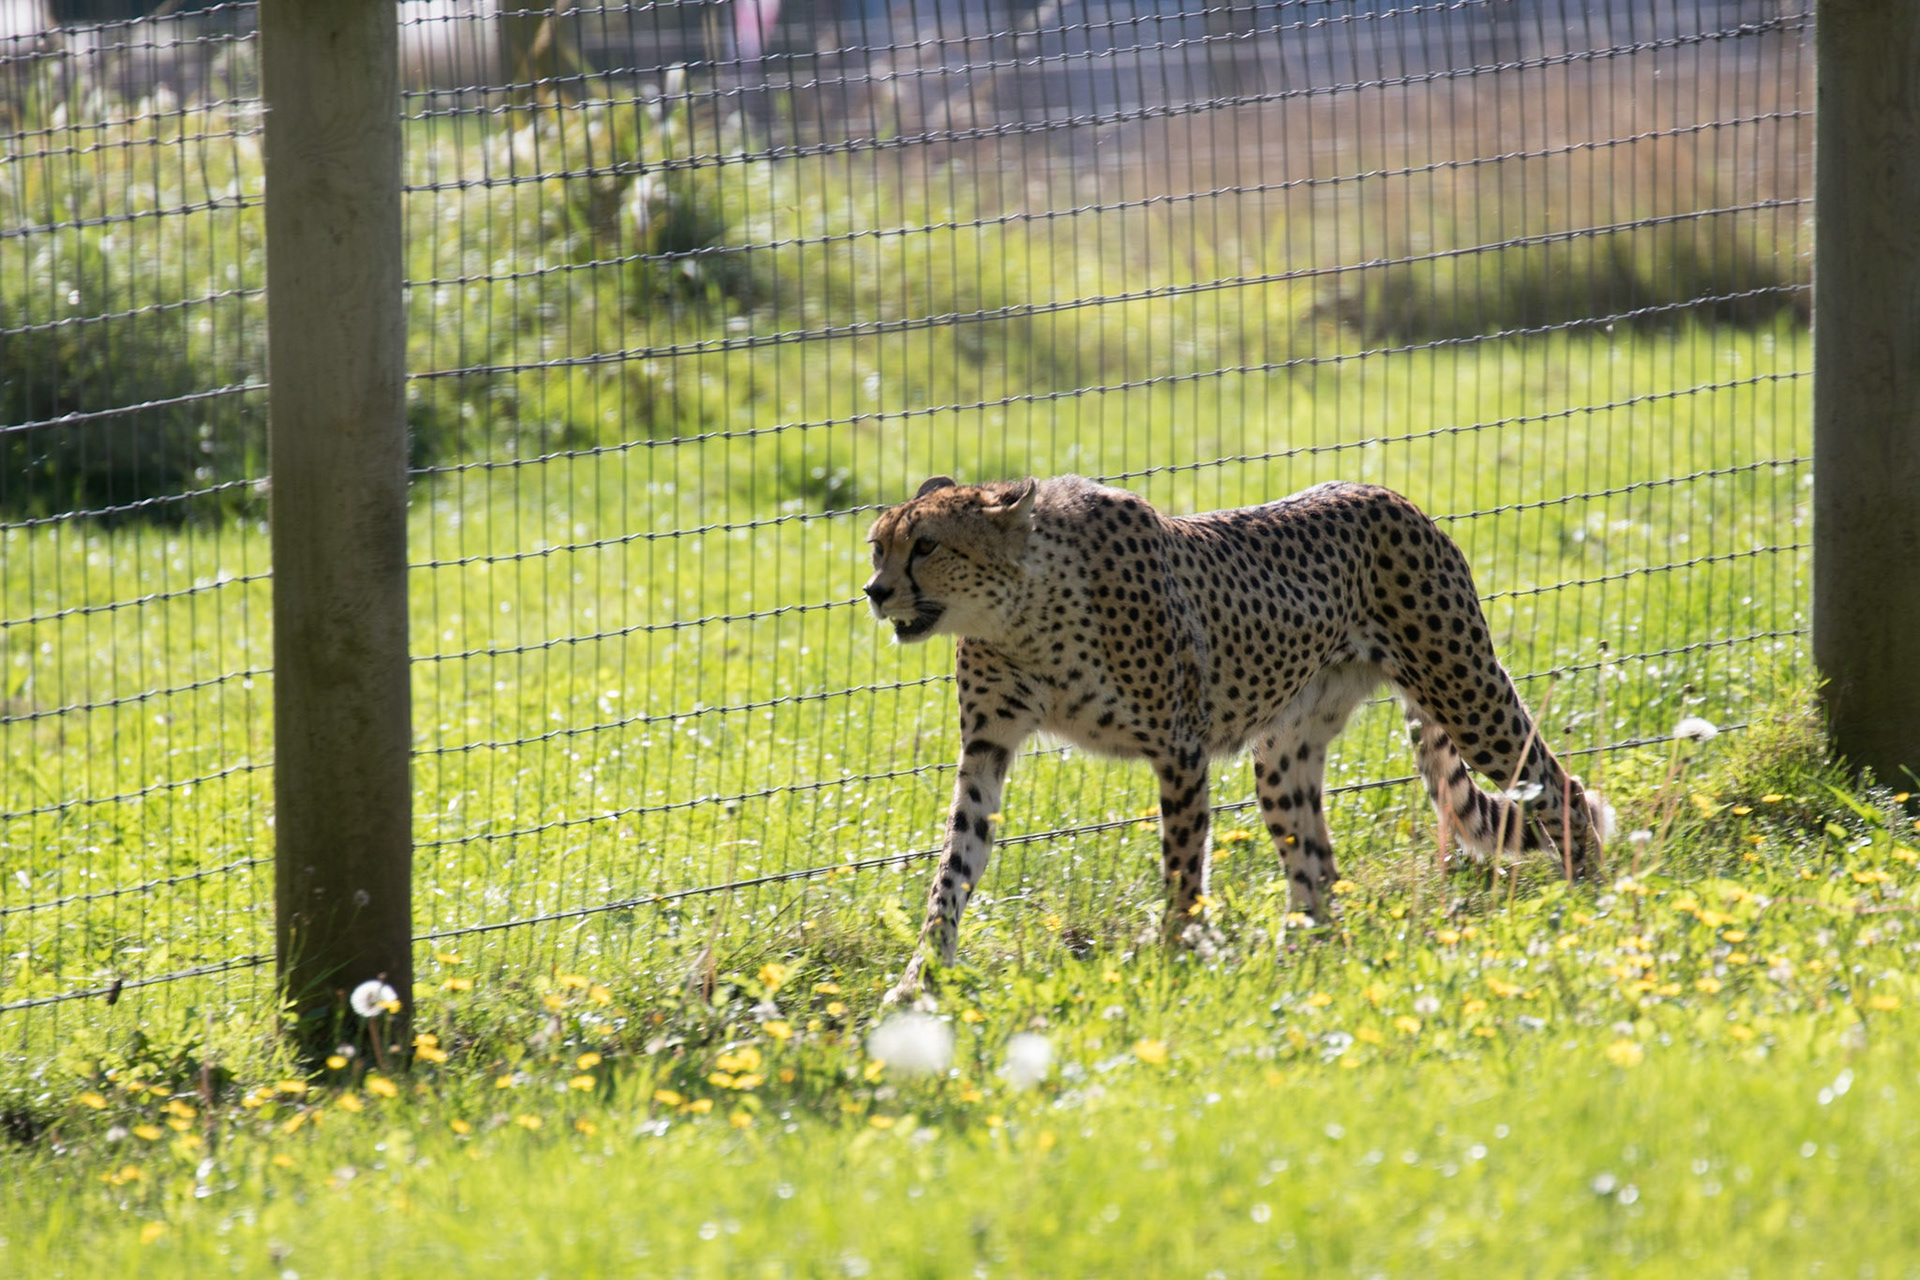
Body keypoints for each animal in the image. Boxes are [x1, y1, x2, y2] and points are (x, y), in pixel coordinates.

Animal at [864, 474, 1613, 997]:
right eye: (879, 546)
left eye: (927, 546)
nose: (874, 591)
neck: (1020, 614)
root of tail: (1392, 495)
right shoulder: (985, 750)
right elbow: (953, 870)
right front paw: (917, 981)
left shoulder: (1177, 746)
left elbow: (1182, 867)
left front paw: (1173, 958)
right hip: (1283, 759)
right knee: (1318, 869)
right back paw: (1304, 959)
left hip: (1466, 692)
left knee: (1562, 786)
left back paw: (1591, 900)